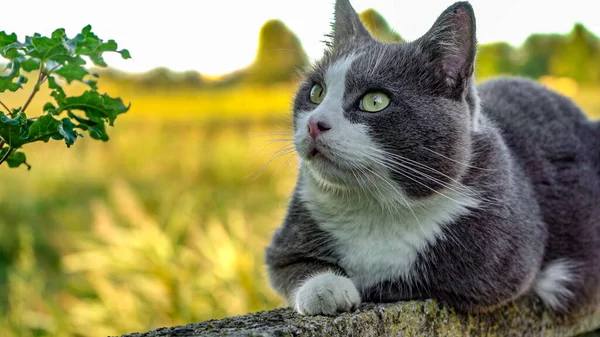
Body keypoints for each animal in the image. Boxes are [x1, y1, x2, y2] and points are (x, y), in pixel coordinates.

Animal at [266, 0, 600, 316]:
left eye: (375, 101)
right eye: (316, 93)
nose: (314, 124)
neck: (376, 207)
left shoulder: (502, 257)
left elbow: (417, 279)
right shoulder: (289, 235)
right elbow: (289, 267)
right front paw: (325, 288)